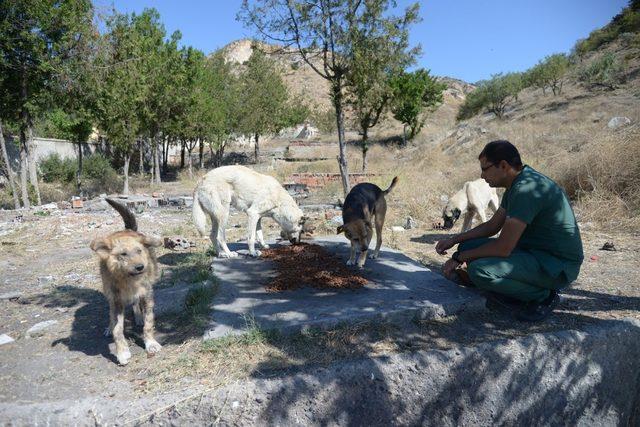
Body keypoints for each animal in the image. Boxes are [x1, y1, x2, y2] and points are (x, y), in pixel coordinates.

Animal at [91, 199, 164, 366]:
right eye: (123, 254)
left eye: (139, 251)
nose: (140, 267)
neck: (129, 280)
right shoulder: (116, 300)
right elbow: (118, 329)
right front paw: (122, 352)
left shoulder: (147, 295)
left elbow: (148, 323)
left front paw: (150, 343)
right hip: (109, 294)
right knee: (111, 312)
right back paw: (109, 327)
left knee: (136, 304)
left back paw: (138, 317)